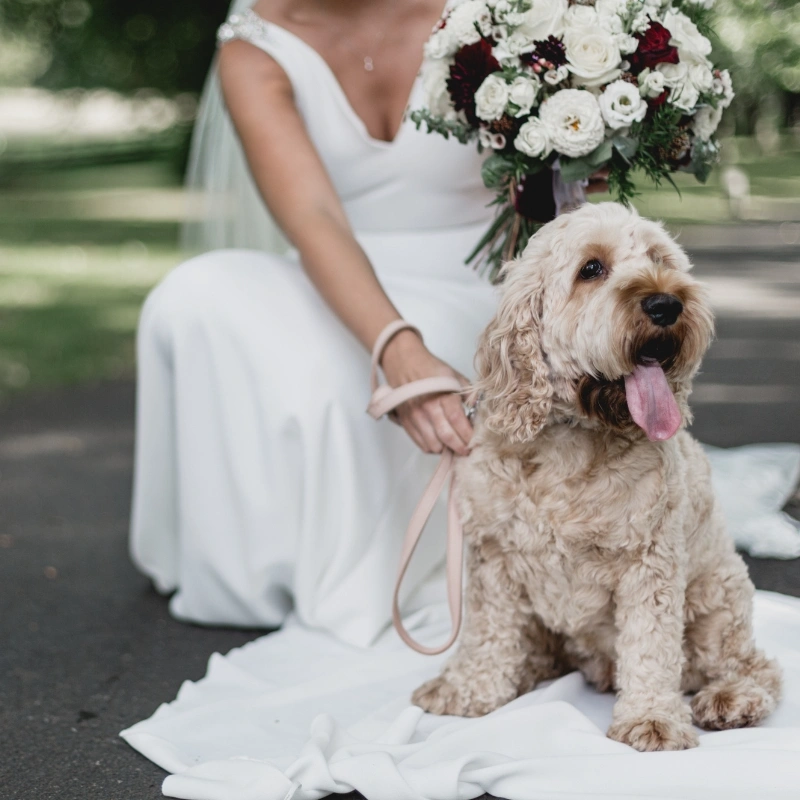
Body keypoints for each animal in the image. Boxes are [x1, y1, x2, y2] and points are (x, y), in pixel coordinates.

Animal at [412, 200, 780, 752]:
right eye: (591, 268)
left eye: (659, 259)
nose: (667, 304)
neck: (574, 441)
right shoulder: (494, 558)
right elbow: (487, 632)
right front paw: (468, 687)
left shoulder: (649, 562)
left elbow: (651, 645)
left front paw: (652, 718)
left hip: (719, 593)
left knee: (754, 666)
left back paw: (731, 697)